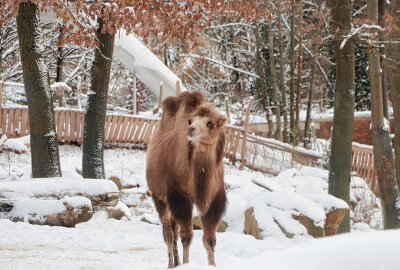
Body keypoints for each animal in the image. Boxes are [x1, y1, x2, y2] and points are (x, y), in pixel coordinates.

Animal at [147, 91, 228, 268]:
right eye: (190, 121)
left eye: (210, 124)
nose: (191, 129)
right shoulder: (179, 196)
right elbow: (186, 236)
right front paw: (186, 263)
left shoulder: (214, 199)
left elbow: (210, 240)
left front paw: (212, 265)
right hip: (159, 197)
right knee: (168, 233)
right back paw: (171, 264)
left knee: (173, 230)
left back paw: (176, 262)